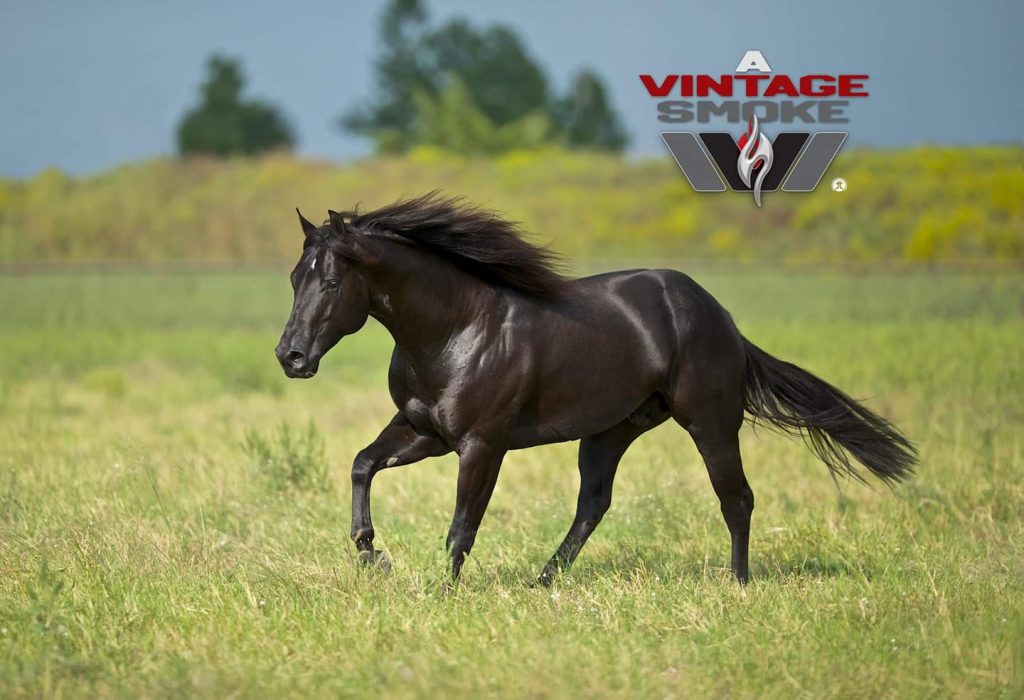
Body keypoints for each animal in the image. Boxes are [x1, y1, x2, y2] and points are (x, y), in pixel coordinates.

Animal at [275, 193, 916, 584]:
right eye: (293, 278)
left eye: (330, 282)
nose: (291, 356)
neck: (453, 330)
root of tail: (721, 318)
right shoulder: (424, 430)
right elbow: (362, 464)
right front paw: (372, 556)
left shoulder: (482, 444)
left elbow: (461, 526)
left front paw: (441, 594)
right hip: (611, 431)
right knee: (594, 504)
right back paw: (543, 581)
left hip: (710, 422)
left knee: (736, 498)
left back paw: (738, 583)